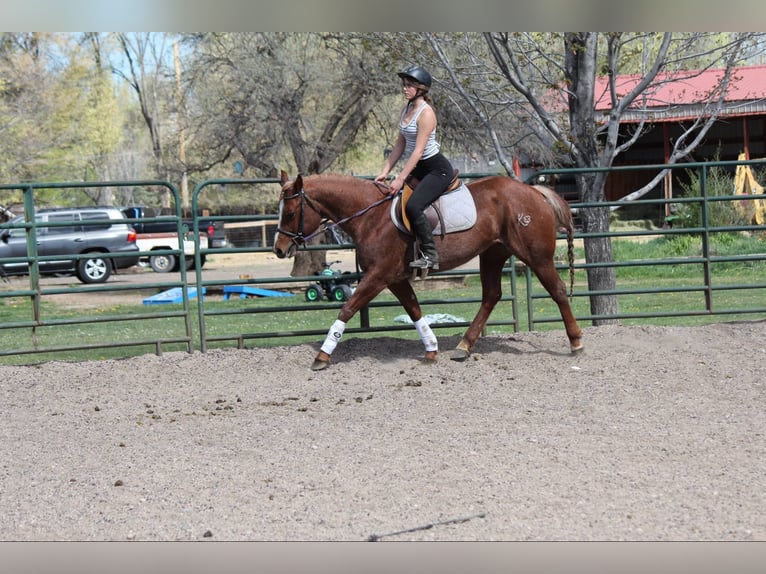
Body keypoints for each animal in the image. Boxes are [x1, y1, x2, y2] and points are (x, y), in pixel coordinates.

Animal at [273, 171, 583, 371]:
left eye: (290, 213)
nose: (279, 249)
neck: (371, 216)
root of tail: (533, 191)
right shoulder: (394, 278)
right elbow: (414, 310)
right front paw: (431, 349)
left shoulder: (378, 276)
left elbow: (347, 308)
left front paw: (323, 356)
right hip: (493, 254)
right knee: (491, 295)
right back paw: (463, 347)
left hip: (536, 257)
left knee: (556, 291)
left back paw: (576, 342)